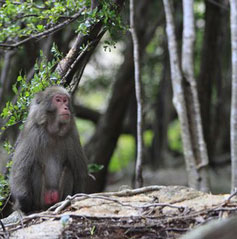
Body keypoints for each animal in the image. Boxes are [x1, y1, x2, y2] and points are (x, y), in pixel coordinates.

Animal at [9, 85, 87, 213]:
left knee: (68, 168)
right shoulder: (32, 131)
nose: (66, 107)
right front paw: (23, 203)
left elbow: (79, 171)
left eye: (65, 100)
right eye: (58, 100)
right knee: (35, 167)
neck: (53, 131)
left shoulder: (72, 133)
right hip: (41, 198)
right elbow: (20, 169)